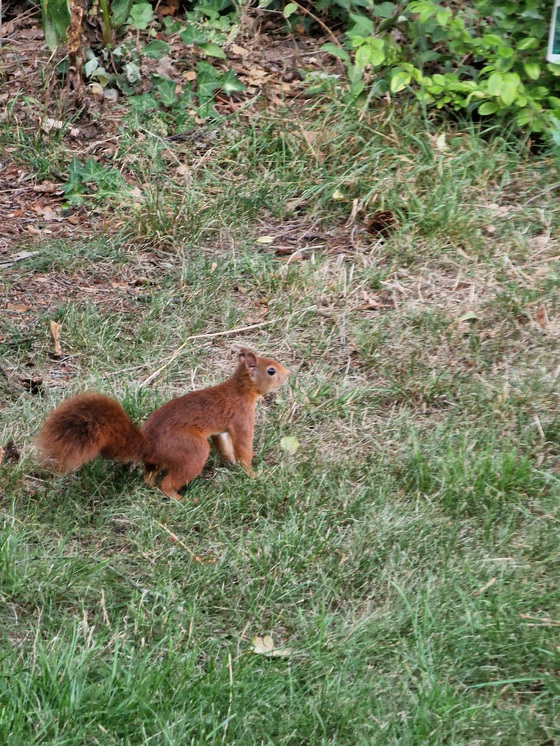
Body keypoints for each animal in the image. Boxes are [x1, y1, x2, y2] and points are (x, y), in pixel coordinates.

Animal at [38, 348, 290, 500]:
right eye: (271, 370)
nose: (288, 374)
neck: (241, 389)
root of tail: (150, 447)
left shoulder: (222, 430)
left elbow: (225, 445)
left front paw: (232, 463)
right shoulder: (241, 417)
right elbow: (243, 446)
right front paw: (254, 473)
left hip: (161, 460)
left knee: (149, 476)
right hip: (192, 449)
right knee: (166, 484)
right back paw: (181, 499)